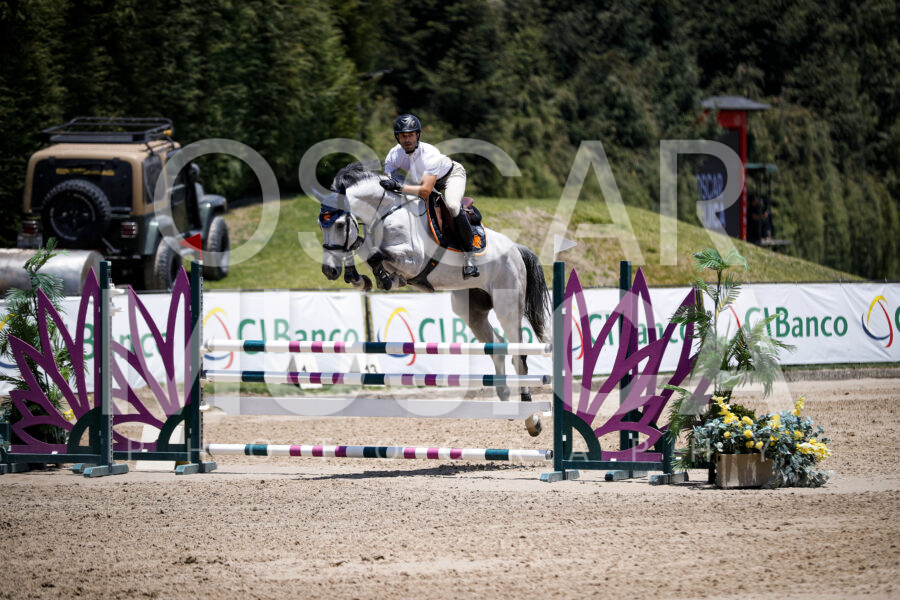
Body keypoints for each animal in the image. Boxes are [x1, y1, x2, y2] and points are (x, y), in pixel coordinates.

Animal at [316, 162, 550, 414]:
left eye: (340, 224)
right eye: (321, 225)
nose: (328, 270)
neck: (385, 213)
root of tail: (515, 248)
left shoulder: (413, 259)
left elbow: (373, 252)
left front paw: (378, 278)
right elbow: (362, 247)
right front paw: (363, 279)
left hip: (507, 304)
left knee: (518, 352)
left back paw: (525, 398)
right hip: (470, 309)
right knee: (497, 344)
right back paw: (503, 392)